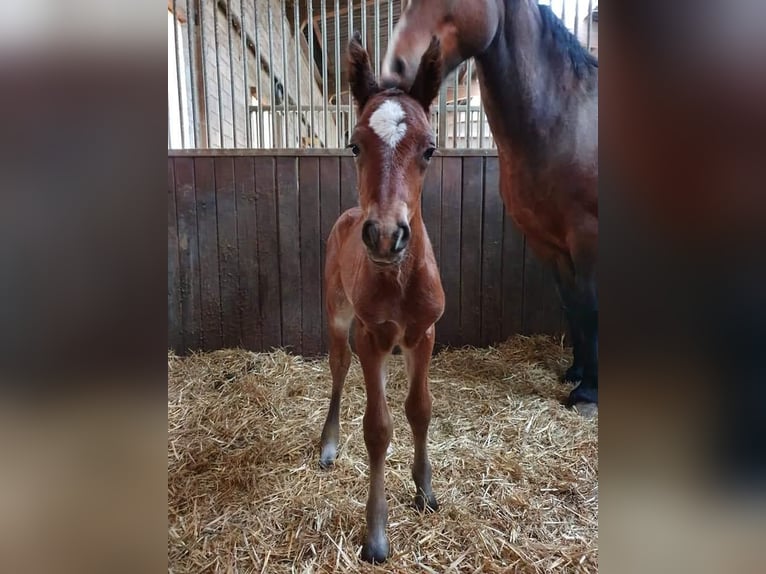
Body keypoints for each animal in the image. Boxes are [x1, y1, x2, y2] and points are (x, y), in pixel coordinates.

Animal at [384, 0, 600, 414]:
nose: (396, 67)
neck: (563, 117)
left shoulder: (587, 236)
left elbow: (591, 309)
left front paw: (589, 393)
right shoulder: (550, 244)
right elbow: (574, 308)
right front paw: (577, 373)